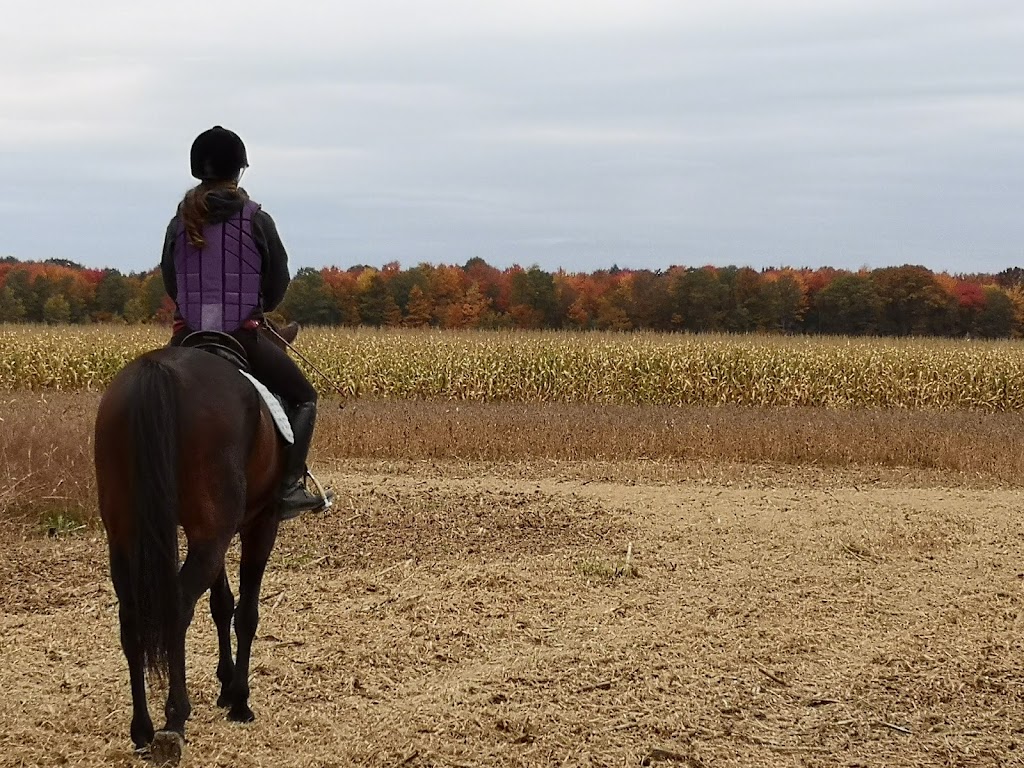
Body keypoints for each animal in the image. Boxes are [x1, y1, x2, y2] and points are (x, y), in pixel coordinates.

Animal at [93, 321, 299, 761]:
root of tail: (158, 371)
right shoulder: (260, 524)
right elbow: (246, 612)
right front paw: (239, 699)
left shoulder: (208, 533)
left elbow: (222, 604)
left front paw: (225, 685)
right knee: (179, 603)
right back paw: (175, 718)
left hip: (126, 534)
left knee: (131, 615)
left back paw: (142, 728)